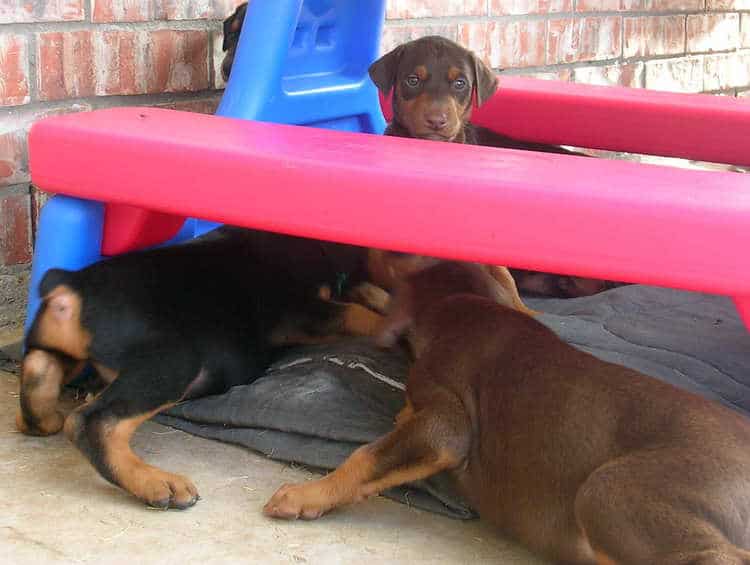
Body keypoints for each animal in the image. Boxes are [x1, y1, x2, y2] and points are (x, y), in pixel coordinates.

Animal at [19, 227, 382, 508]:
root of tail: (73, 284)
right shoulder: (302, 311)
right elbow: (355, 313)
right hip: (175, 360)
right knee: (92, 421)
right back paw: (156, 482)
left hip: (58, 347)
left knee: (38, 366)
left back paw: (43, 418)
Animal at [262, 262, 750, 564]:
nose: (355, 275)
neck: (470, 304)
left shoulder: (447, 424)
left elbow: (366, 455)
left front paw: (304, 495)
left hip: (610, 491)